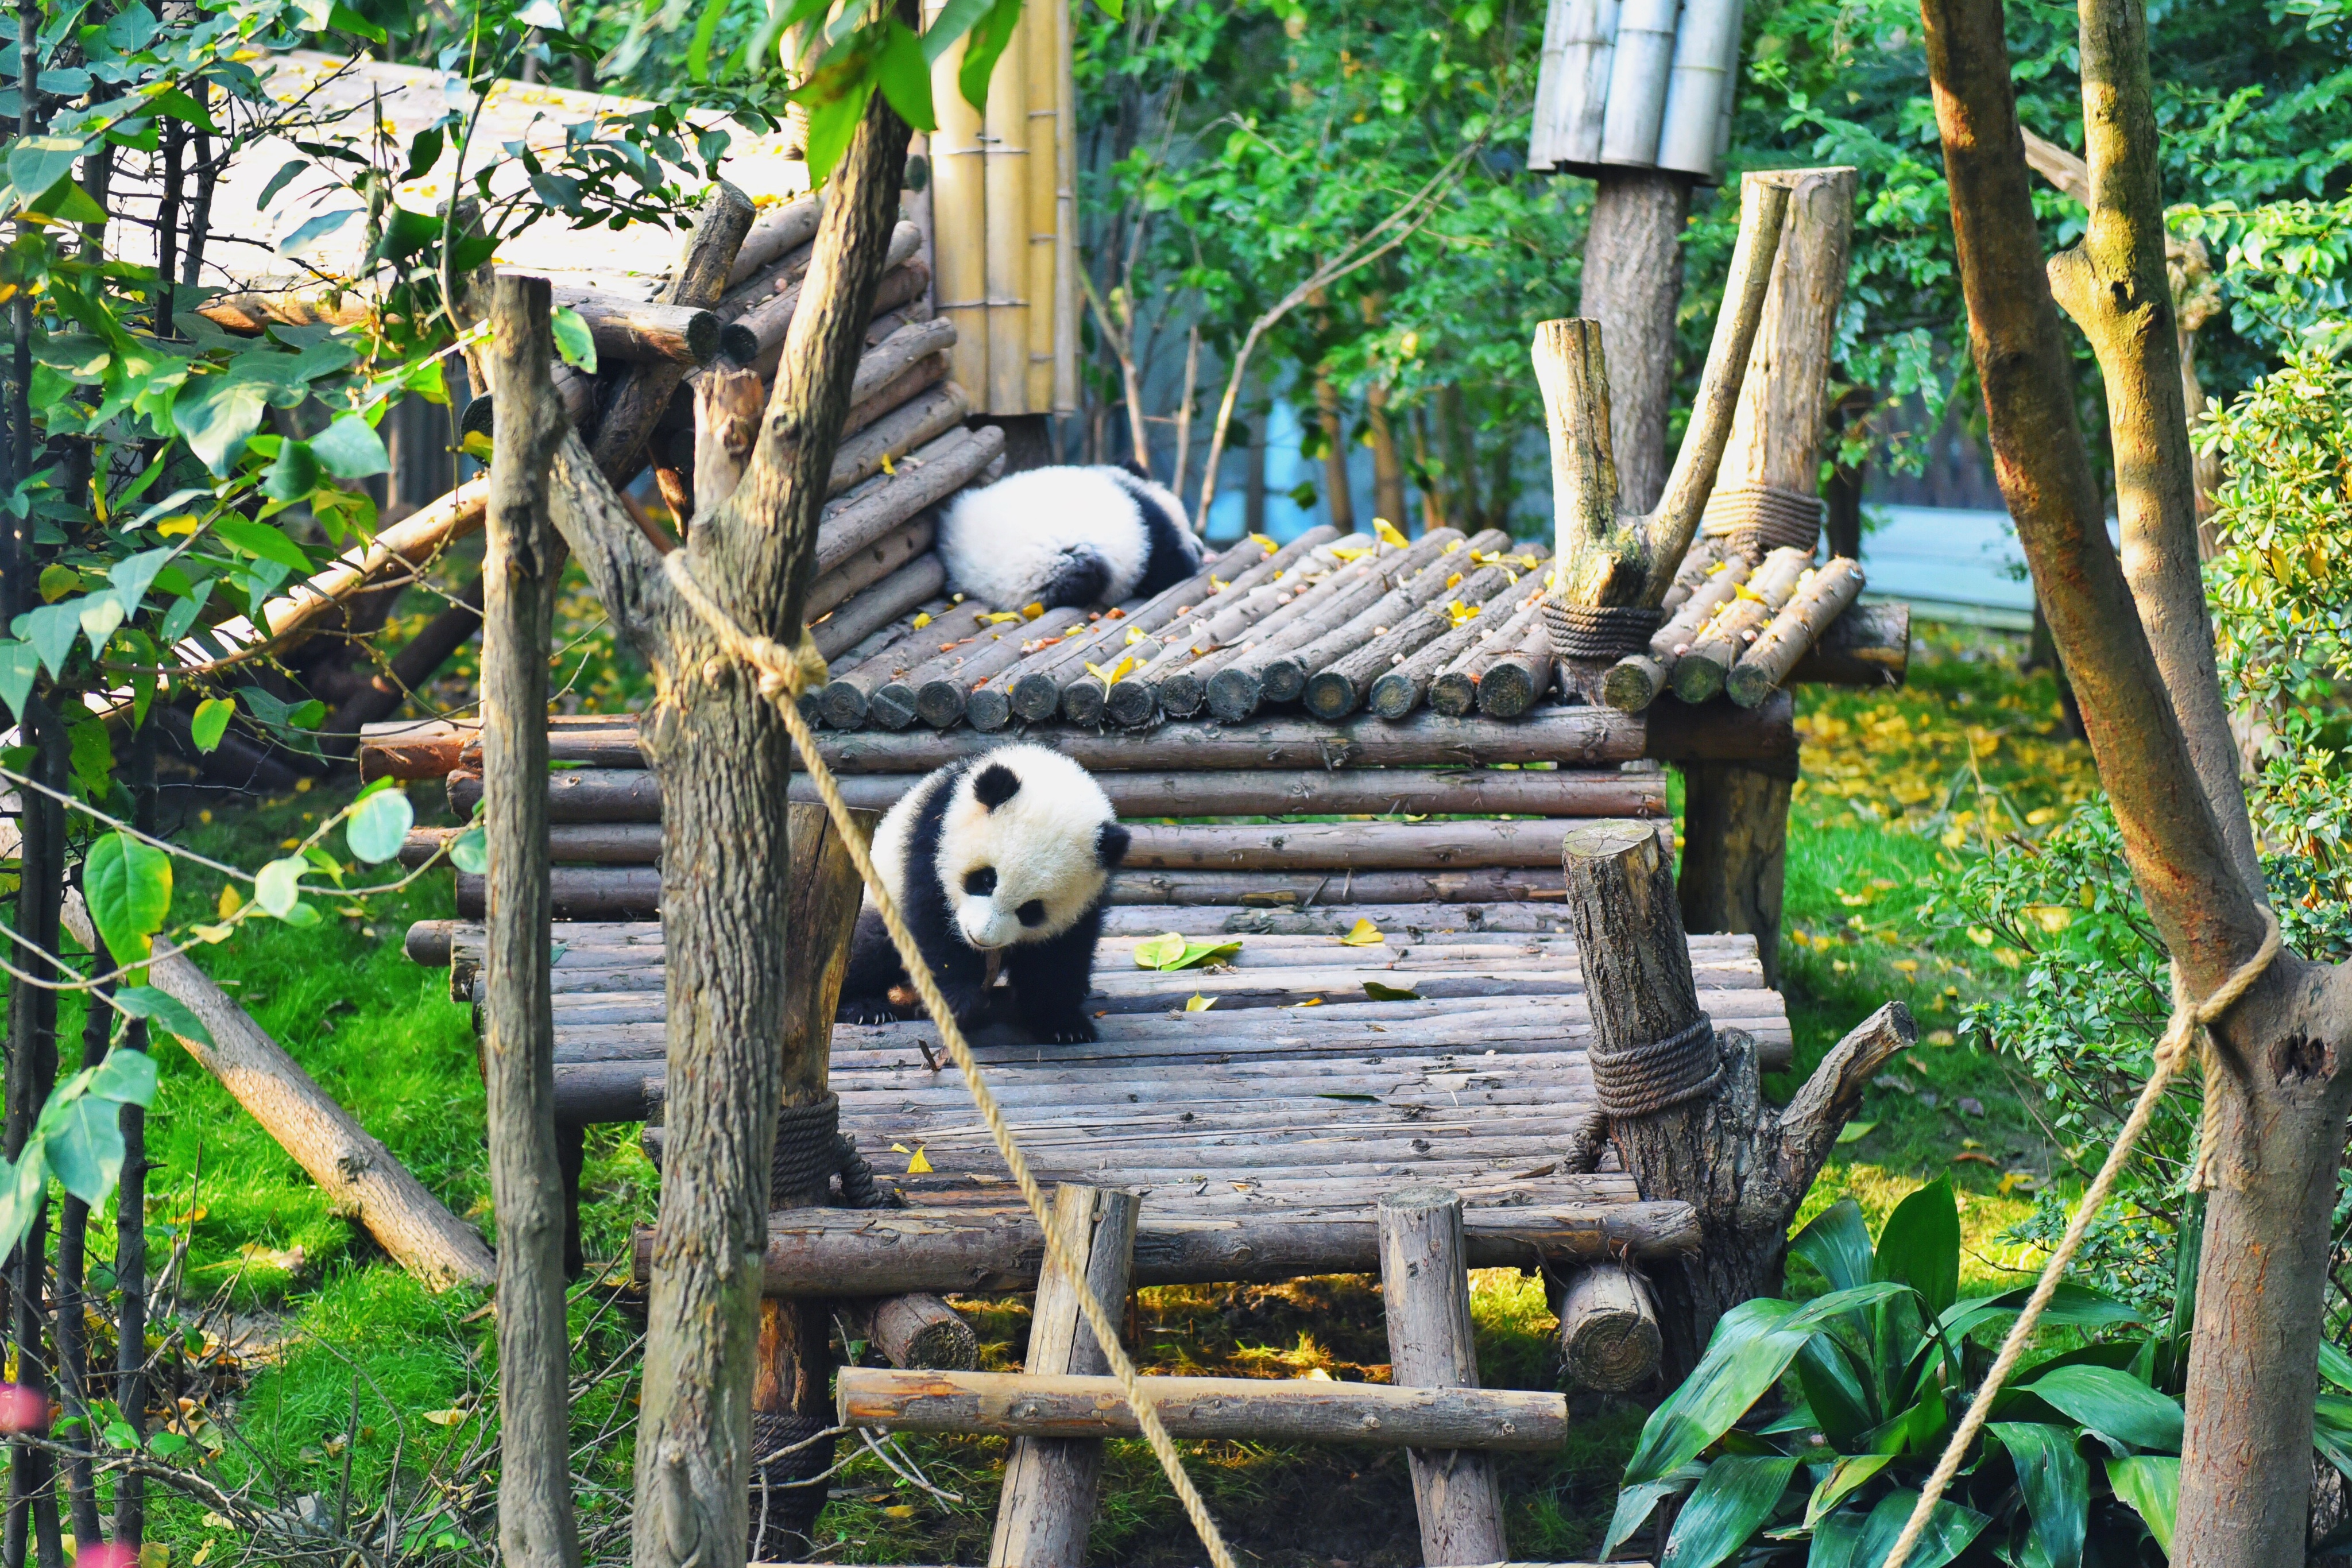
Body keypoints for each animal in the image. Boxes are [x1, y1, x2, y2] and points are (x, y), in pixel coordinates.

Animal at [837, 743, 1131, 1045]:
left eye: (1031, 910)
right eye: (987, 880)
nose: (980, 938)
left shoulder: (1089, 898)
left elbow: (1061, 953)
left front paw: (1064, 1023)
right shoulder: (933, 841)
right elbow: (936, 928)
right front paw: (961, 1004)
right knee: (870, 946)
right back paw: (865, 1006)